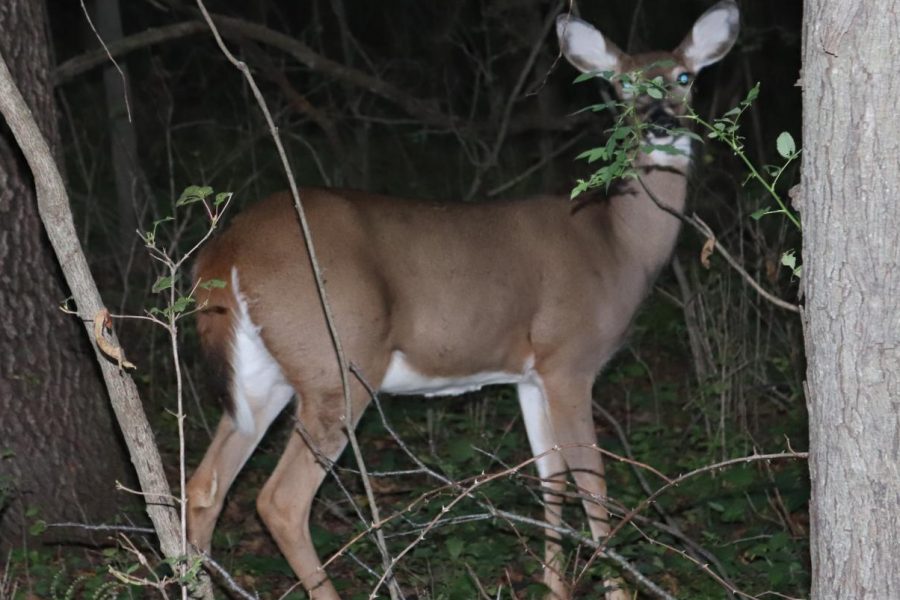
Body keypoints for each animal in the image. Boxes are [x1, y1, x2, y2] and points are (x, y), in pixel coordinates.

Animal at [185, 2, 740, 596]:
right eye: (623, 84)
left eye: (684, 77)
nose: (661, 119)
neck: (615, 244)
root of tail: (226, 251)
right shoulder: (570, 359)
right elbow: (592, 483)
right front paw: (614, 583)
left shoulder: (530, 375)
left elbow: (551, 479)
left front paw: (556, 585)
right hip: (339, 360)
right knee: (281, 500)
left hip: (265, 371)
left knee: (204, 484)